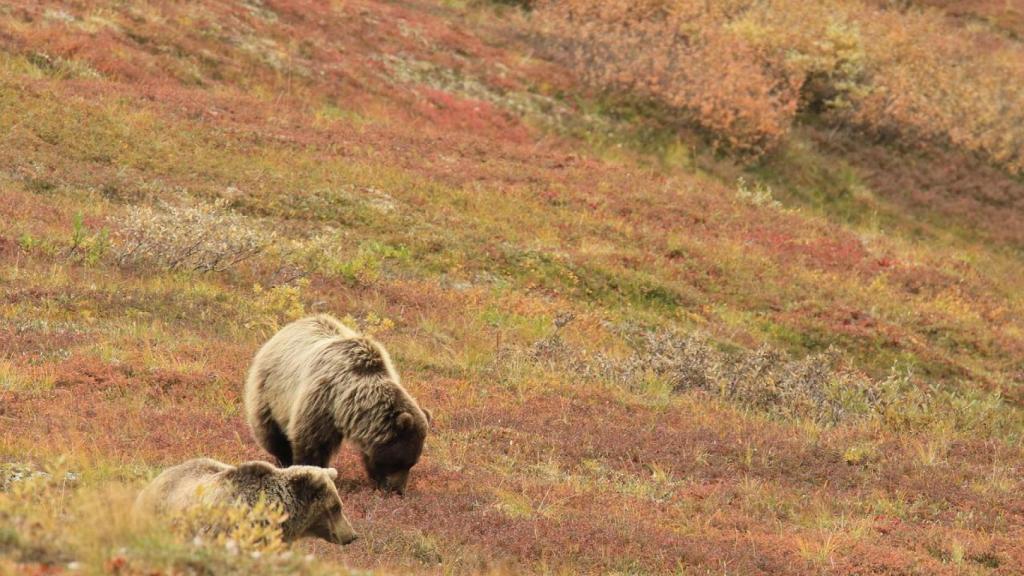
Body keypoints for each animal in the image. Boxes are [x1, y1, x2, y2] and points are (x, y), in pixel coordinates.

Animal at [244, 314, 431, 494]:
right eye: (399, 462)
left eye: (412, 463)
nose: (398, 491)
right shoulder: (320, 401)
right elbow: (311, 444)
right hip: (269, 392)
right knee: (271, 434)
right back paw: (282, 460)